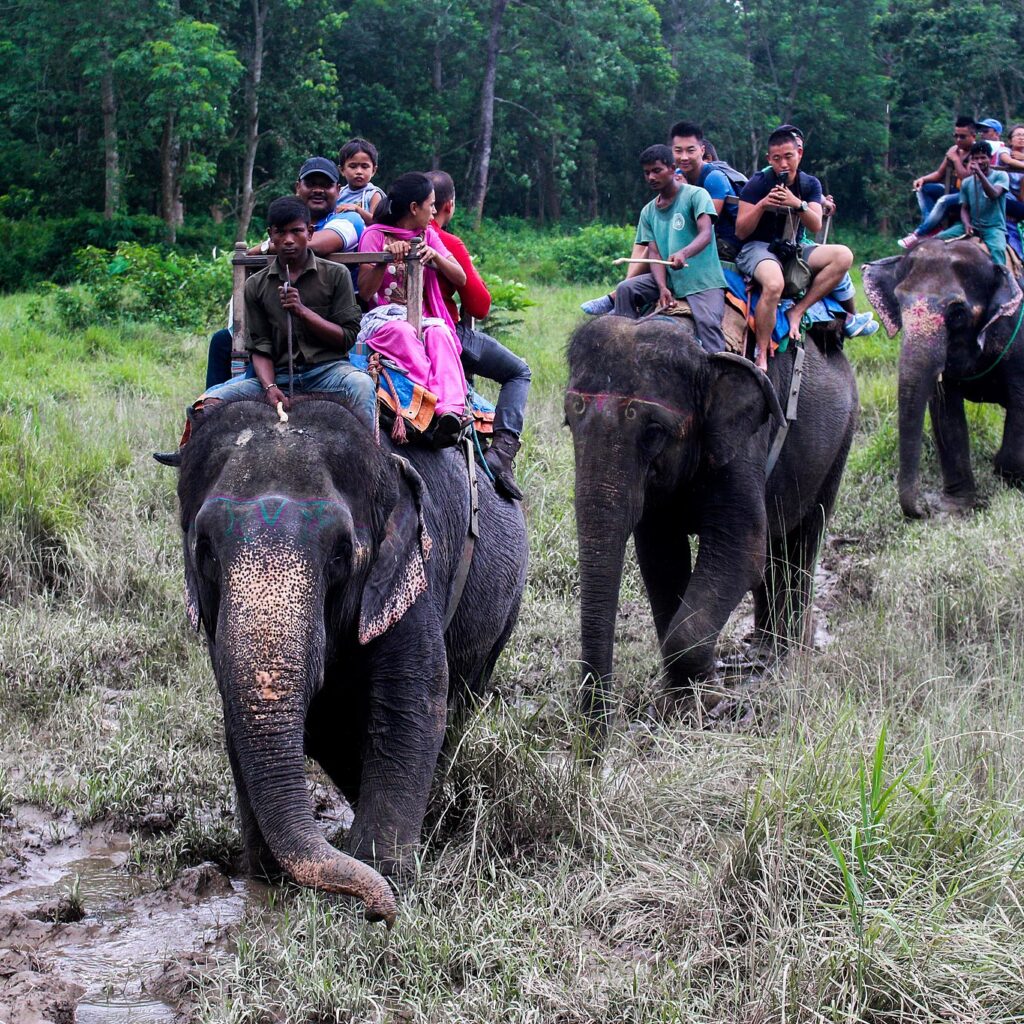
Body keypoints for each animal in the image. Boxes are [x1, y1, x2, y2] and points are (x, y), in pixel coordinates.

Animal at [168, 395, 528, 925]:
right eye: (206, 550)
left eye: (341, 553)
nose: (380, 914)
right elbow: (251, 716)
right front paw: (266, 875)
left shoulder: (411, 571)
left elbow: (411, 705)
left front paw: (386, 873)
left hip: (504, 608)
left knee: (461, 701)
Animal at [565, 315, 860, 733]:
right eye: (568, 422)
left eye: (654, 432)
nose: (596, 737)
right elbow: (660, 557)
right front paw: (681, 701)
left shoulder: (744, 445)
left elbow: (742, 547)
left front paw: (709, 705)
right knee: (776, 552)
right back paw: (761, 654)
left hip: (840, 439)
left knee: (803, 540)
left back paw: (790, 657)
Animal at [864, 240, 1024, 520]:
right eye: (898, 302)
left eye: (958, 313)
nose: (924, 509)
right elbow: (945, 413)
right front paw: (954, 508)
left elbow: (1020, 405)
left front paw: (1004, 472)